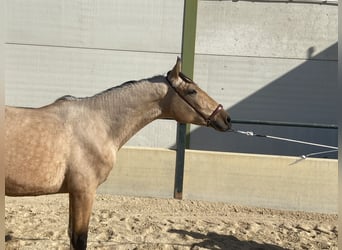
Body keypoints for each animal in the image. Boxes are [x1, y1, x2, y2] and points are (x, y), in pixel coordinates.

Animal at [5, 57, 231, 249]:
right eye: (192, 91)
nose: (226, 118)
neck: (99, 124)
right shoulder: (83, 192)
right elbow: (79, 239)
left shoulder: (75, 193)